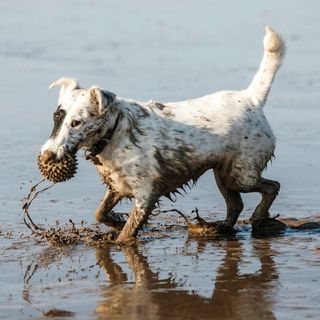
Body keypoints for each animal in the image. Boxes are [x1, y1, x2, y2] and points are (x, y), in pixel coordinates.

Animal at [39, 26, 284, 242]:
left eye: (76, 123)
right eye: (56, 117)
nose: (47, 156)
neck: (116, 132)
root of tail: (251, 97)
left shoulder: (145, 195)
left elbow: (126, 234)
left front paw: (120, 236)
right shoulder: (117, 185)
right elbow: (100, 213)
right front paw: (116, 222)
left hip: (242, 175)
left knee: (272, 187)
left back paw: (257, 218)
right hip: (223, 173)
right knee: (236, 205)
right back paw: (219, 228)